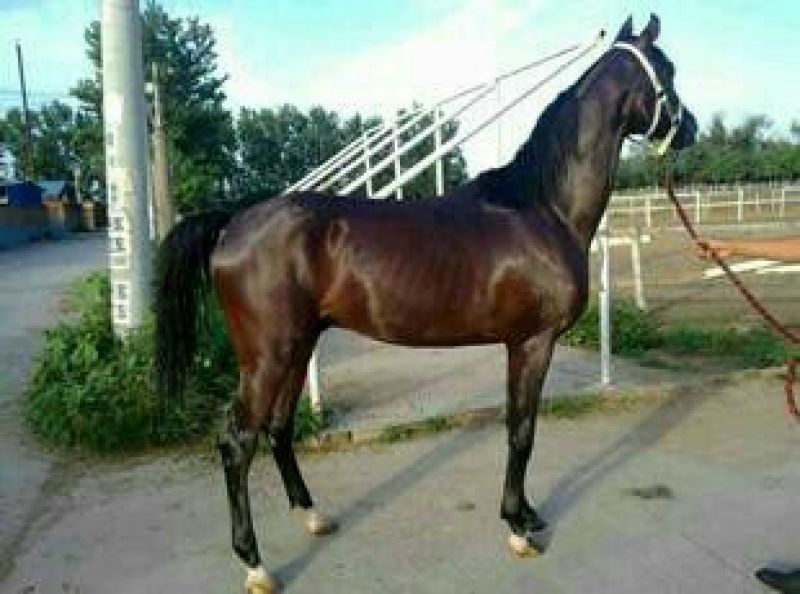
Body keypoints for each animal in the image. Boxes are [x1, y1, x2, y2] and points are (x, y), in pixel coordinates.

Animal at [155, 14, 697, 593]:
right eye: (667, 70)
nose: (691, 128)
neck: (540, 207)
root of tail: (233, 220)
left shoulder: (521, 344)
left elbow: (518, 426)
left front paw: (526, 514)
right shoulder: (532, 343)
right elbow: (522, 431)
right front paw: (517, 528)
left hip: (298, 347)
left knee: (278, 427)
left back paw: (313, 517)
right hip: (268, 356)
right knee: (238, 440)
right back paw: (255, 564)